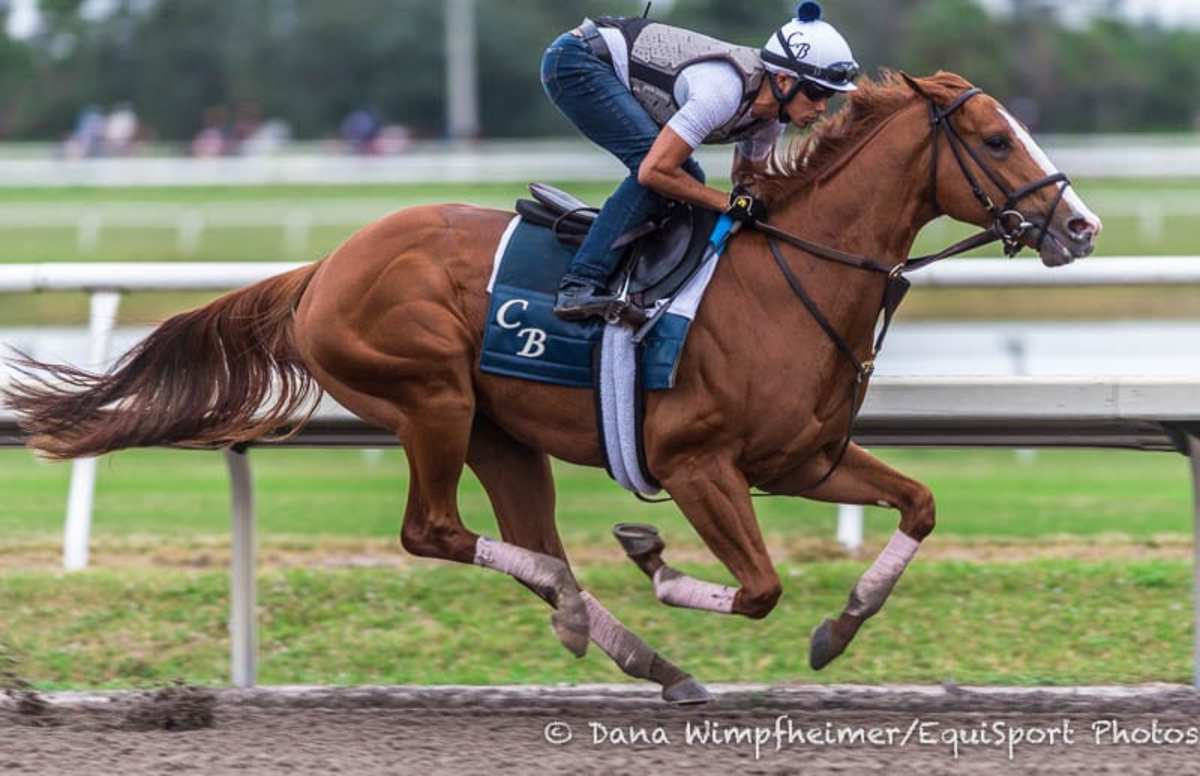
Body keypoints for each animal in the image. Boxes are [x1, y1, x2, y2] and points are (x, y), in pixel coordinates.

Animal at [4, 71, 1099, 705]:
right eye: (996, 141)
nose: (1079, 225)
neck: (785, 278)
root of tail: (323, 269)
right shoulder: (698, 464)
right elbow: (757, 588)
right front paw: (657, 559)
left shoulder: (807, 458)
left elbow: (918, 504)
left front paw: (840, 627)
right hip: (433, 398)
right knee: (439, 532)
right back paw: (596, 616)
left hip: (501, 432)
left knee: (528, 544)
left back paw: (629, 646)